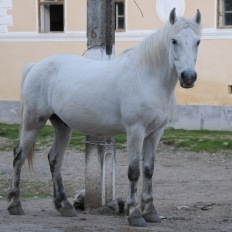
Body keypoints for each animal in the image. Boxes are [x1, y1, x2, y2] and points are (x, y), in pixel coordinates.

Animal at [7, 8, 201, 227]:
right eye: (174, 40)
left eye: (197, 42)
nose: (188, 77)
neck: (148, 77)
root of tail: (36, 65)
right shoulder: (136, 131)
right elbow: (134, 171)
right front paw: (134, 214)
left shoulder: (155, 133)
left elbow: (148, 170)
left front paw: (151, 212)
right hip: (33, 121)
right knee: (19, 156)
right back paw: (15, 204)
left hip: (62, 126)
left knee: (55, 159)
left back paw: (65, 206)